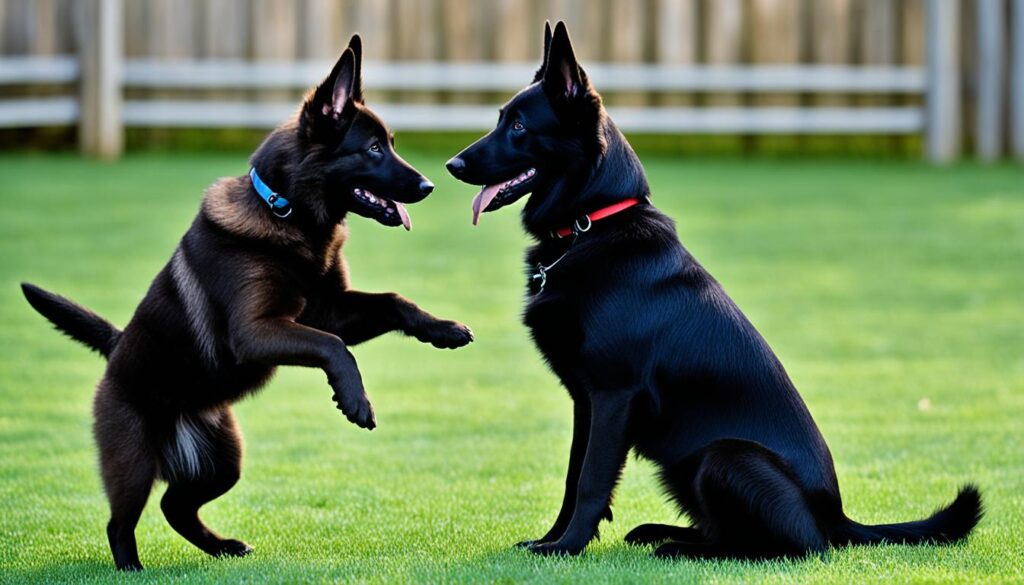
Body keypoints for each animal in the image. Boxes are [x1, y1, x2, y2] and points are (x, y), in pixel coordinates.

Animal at [22, 34, 471, 569]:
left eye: (393, 143)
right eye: (374, 148)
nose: (430, 184)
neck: (286, 212)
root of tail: (115, 349)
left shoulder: (328, 310)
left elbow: (392, 303)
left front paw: (442, 329)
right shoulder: (257, 331)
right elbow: (333, 347)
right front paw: (354, 400)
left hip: (223, 460)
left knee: (176, 506)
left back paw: (223, 548)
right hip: (132, 463)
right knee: (121, 522)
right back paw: (133, 569)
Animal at [446, 22, 974, 561]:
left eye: (518, 127)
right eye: (501, 120)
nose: (451, 165)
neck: (590, 225)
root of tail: (837, 518)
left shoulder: (613, 397)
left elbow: (592, 480)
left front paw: (568, 546)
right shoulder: (584, 402)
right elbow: (573, 478)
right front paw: (553, 539)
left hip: (723, 456)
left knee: (787, 546)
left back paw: (678, 548)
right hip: (684, 468)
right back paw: (661, 534)